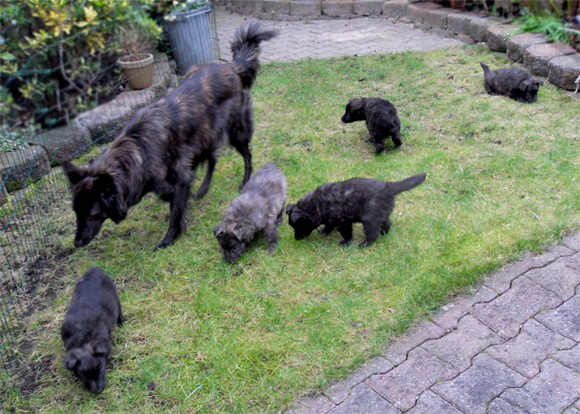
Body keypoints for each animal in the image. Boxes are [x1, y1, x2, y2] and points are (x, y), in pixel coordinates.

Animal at [63, 23, 278, 249]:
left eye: (91, 214)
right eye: (76, 212)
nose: (77, 243)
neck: (138, 151)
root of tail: (231, 67)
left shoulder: (180, 178)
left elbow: (175, 210)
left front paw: (170, 237)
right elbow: (172, 198)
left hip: (236, 131)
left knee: (246, 155)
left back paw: (244, 180)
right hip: (204, 137)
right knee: (212, 159)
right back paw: (203, 189)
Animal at [286, 173, 426, 247]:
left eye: (300, 226)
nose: (297, 238)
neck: (315, 206)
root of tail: (388, 187)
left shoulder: (343, 223)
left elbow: (346, 233)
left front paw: (345, 243)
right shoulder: (331, 219)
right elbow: (328, 226)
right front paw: (324, 231)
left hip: (369, 219)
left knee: (373, 233)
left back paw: (363, 244)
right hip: (379, 214)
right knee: (387, 223)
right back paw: (384, 233)